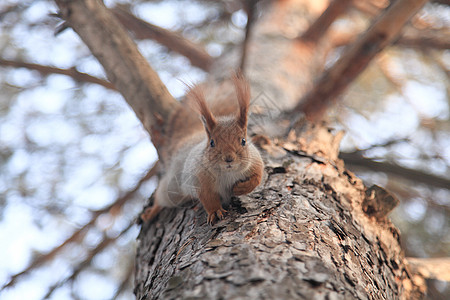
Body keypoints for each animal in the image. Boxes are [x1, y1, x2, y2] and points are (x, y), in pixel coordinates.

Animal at [139, 72, 262, 224]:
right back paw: (151, 212)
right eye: (212, 143)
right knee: (161, 198)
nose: (229, 159)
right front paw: (215, 211)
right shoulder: (199, 179)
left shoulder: (255, 162)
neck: (228, 173)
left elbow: (257, 179)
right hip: (172, 188)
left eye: (244, 141)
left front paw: (240, 188)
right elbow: (208, 198)